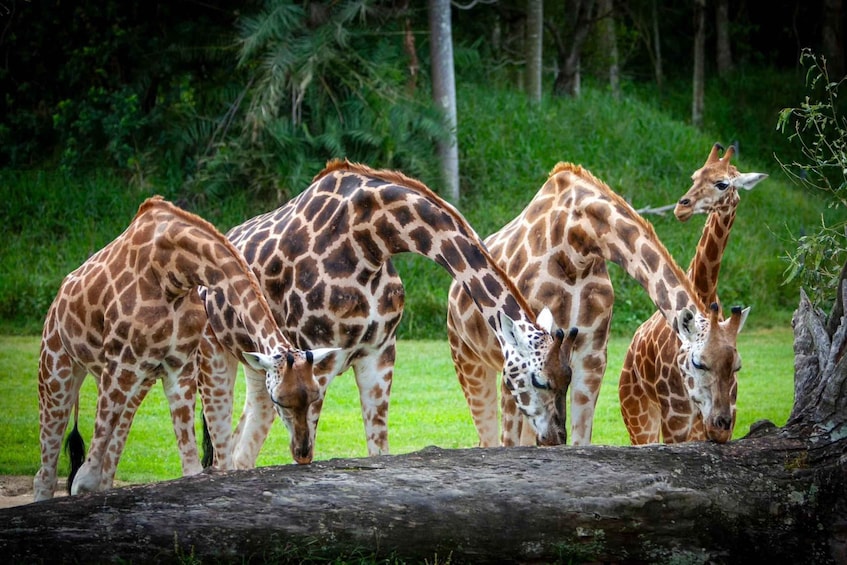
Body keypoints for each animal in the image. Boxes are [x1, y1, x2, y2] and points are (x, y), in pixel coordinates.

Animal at [33, 196, 332, 500]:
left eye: (315, 396)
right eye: (278, 401)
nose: (303, 454)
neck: (172, 271)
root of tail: (56, 301)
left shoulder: (178, 367)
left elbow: (190, 469)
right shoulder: (120, 363)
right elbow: (84, 481)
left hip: (133, 381)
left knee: (108, 462)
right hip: (57, 368)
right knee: (45, 472)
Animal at [202, 159, 580, 468]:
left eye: (568, 378)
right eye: (539, 380)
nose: (556, 439)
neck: (369, 239)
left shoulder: (379, 354)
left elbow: (379, 452)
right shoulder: (313, 365)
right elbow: (306, 459)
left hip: (259, 369)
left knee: (241, 450)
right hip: (215, 355)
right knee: (220, 453)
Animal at [448, 161, 752, 448]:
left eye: (737, 366)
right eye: (698, 363)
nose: (721, 425)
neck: (577, 244)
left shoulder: (591, 354)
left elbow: (580, 439)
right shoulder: (518, 361)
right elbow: (509, 443)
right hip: (468, 360)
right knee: (488, 437)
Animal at [616, 143, 768, 442]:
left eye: (722, 184)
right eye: (695, 176)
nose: (681, 207)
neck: (704, 293)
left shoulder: (723, 419)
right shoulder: (676, 417)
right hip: (638, 416)